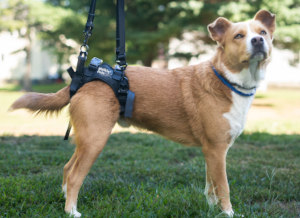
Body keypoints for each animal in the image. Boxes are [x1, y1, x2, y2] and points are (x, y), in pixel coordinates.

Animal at [10, 9, 276, 216]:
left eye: (262, 32)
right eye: (239, 36)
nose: (257, 41)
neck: (227, 79)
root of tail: (84, 79)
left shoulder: (211, 152)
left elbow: (211, 186)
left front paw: (212, 211)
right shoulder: (217, 149)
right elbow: (224, 187)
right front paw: (228, 213)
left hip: (86, 139)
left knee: (67, 168)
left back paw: (65, 201)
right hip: (95, 139)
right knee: (75, 175)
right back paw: (72, 211)